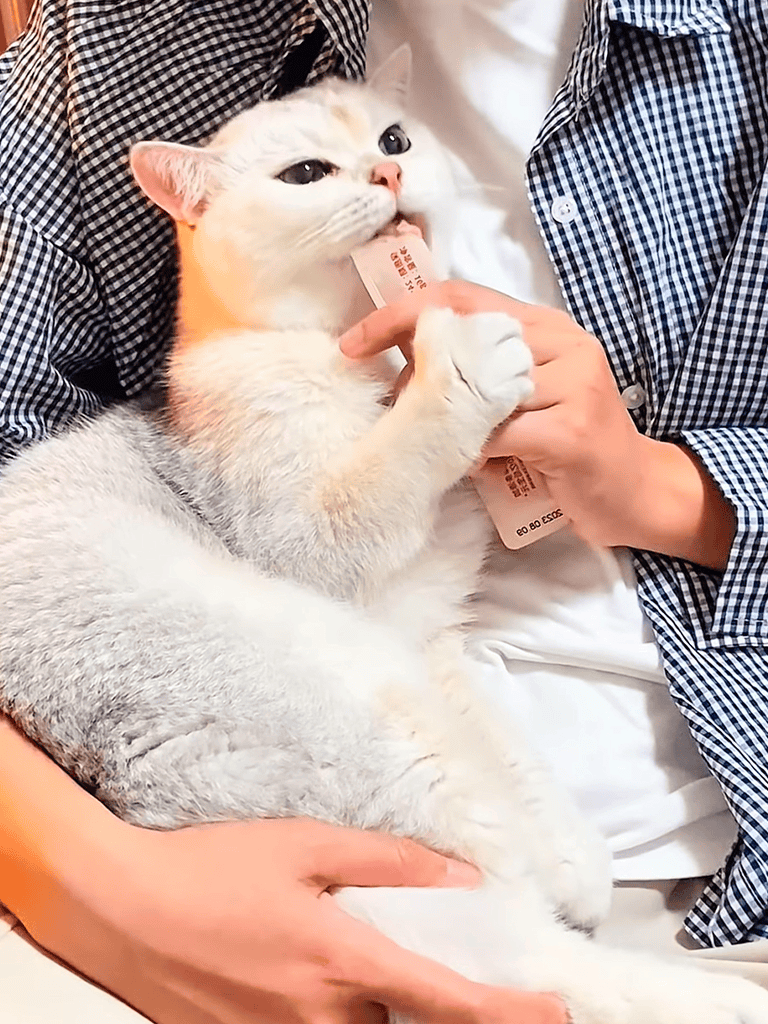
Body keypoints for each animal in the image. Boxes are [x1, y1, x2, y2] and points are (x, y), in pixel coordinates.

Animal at [1, 46, 767, 1024]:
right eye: (305, 175)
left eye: (394, 140)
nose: (390, 174)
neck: (357, 358)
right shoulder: (317, 545)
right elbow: (391, 464)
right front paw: (462, 357)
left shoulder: (424, 622)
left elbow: (509, 741)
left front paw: (574, 846)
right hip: (364, 692)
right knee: (527, 941)